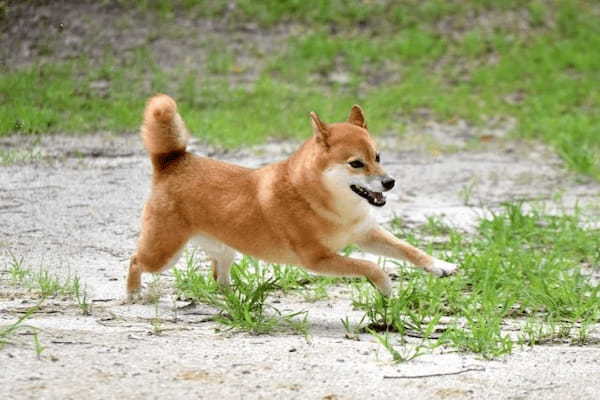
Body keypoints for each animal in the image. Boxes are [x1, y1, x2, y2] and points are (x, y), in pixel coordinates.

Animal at [125, 94, 454, 300]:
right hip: (163, 254)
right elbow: (369, 266)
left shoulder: (366, 234)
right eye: (356, 163)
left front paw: (440, 264)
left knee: (218, 277)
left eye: (378, 156)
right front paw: (385, 286)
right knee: (135, 261)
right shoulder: (319, 259)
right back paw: (133, 294)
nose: (389, 182)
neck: (324, 203)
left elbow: (409, 249)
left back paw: (235, 300)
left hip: (224, 250)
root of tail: (173, 161)